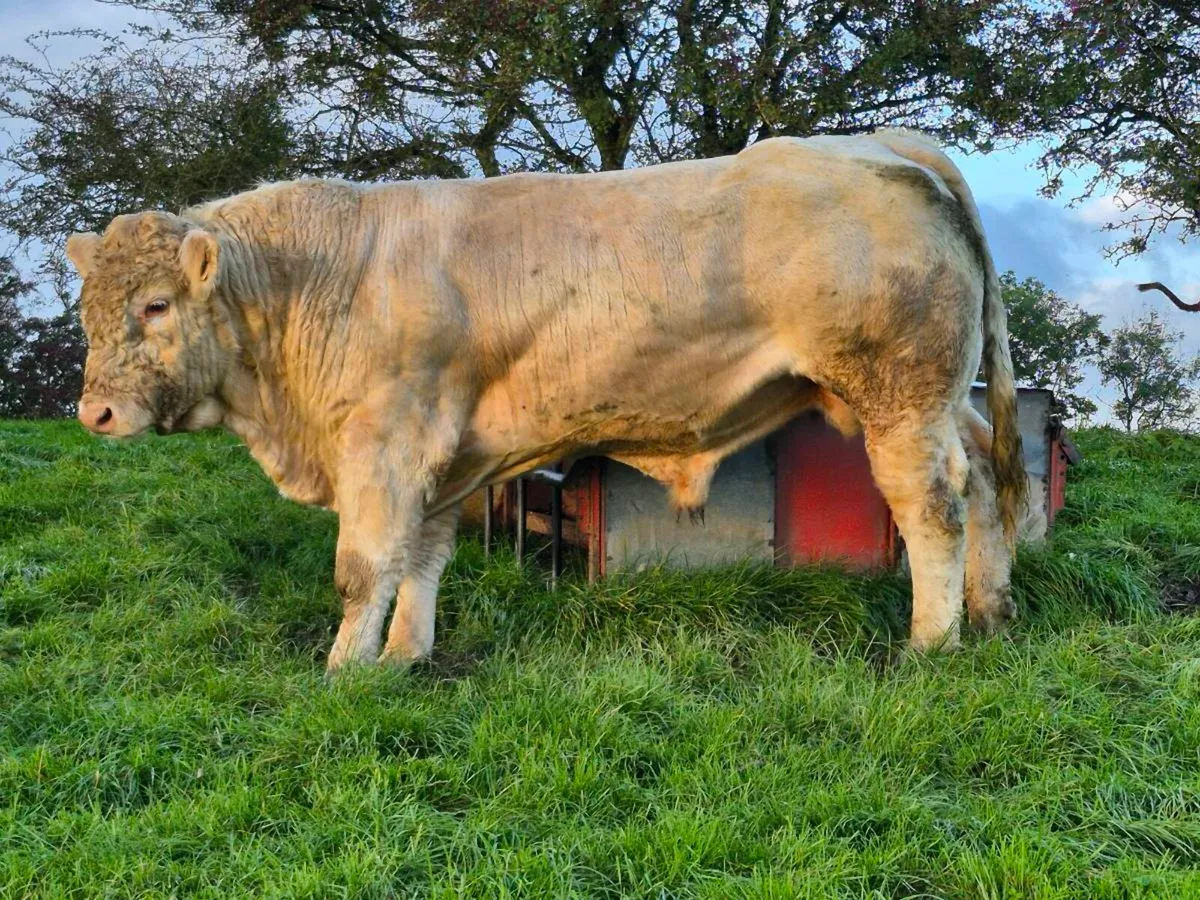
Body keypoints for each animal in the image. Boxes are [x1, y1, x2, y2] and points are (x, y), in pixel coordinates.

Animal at [66, 128, 1026, 672]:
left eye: (155, 306)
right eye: (86, 310)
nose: (95, 413)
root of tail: (881, 146)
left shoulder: (387, 439)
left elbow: (365, 567)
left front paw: (342, 672)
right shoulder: (447, 456)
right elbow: (423, 558)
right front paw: (403, 660)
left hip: (898, 393)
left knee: (932, 508)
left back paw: (930, 645)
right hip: (940, 396)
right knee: (984, 484)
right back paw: (990, 612)